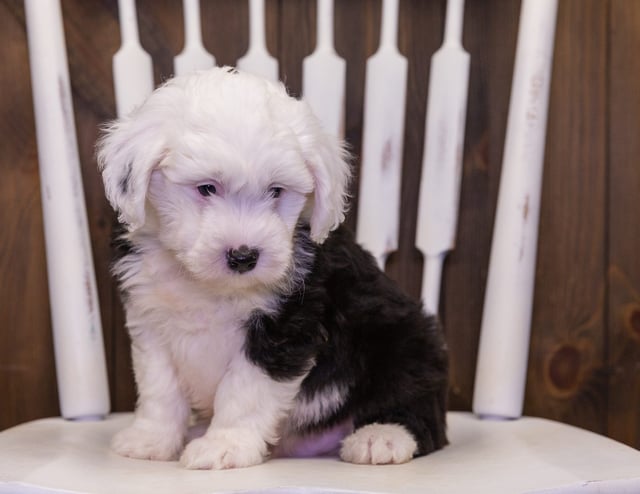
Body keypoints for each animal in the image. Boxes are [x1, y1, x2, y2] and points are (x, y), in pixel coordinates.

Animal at [97, 66, 450, 470]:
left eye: (277, 191)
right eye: (206, 188)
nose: (244, 256)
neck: (207, 285)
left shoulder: (283, 328)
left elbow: (244, 391)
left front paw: (225, 445)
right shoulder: (151, 321)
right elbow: (160, 389)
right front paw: (150, 439)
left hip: (403, 339)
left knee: (419, 404)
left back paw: (383, 436)